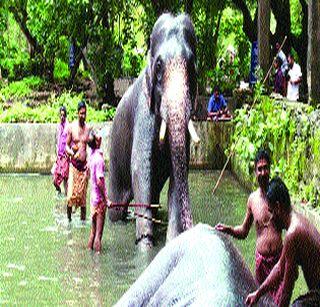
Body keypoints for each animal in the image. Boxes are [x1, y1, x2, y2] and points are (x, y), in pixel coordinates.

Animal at [107, 13, 199, 248]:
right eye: (158, 66)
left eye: (192, 65)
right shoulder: (143, 109)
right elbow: (141, 166)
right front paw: (145, 245)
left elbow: (179, 173)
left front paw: (172, 240)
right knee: (117, 208)